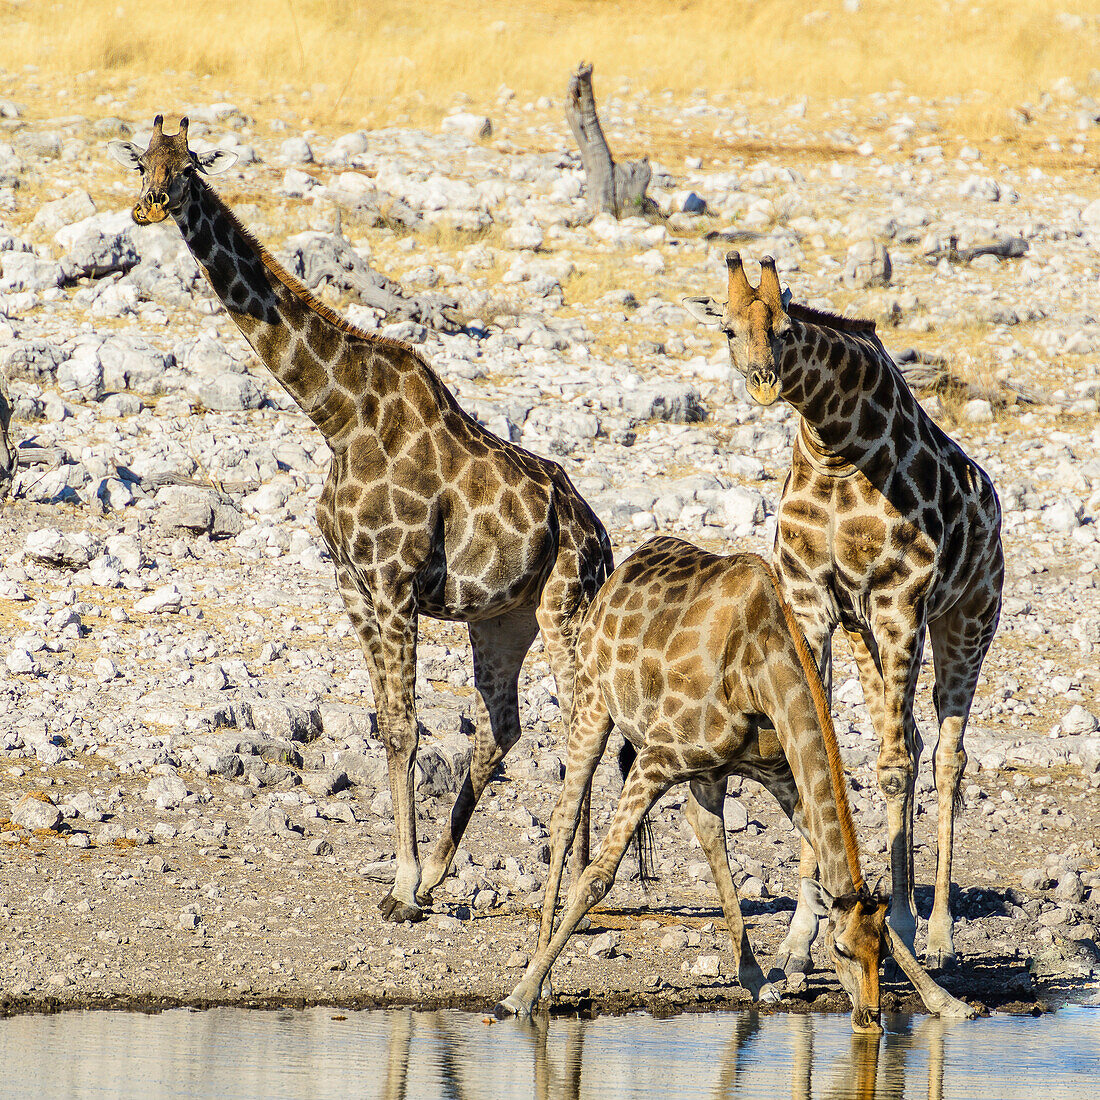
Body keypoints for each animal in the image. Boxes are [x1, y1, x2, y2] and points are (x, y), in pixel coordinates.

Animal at [107, 113, 616, 919]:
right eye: (142, 162)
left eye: (188, 166)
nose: (148, 207)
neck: (337, 416)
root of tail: (602, 537)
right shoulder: (352, 583)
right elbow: (385, 723)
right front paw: (408, 879)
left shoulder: (394, 581)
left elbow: (406, 727)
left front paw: (401, 884)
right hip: (504, 618)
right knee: (503, 728)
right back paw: (452, 873)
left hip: (568, 606)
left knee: (582, 725)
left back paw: (569, 886)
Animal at [492, 539, 972, 1029]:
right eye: (839, 950)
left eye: (882, 950)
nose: (870, 1017)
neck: (759, 674)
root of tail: (622, 568)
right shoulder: (655, 758)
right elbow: (598, 877)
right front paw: (517, 996)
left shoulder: (778, 773)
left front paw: (946, 1002)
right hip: (594, 702)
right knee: (564, 817)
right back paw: (543, 981)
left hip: (707, 772)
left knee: (705, 828)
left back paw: (756, 980)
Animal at [682, 251, 1003, 972]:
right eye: (729, 331)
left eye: (784, 328)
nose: (764, 383)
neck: (834, 446)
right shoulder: (813, 602)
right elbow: (816, 745)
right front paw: (798, 944)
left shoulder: (899, 600)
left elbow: (893, 766)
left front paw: (900, 928)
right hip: (867, 637)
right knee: (907, 735)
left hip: (966, 620)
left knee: (943, 755)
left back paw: (934, 931)